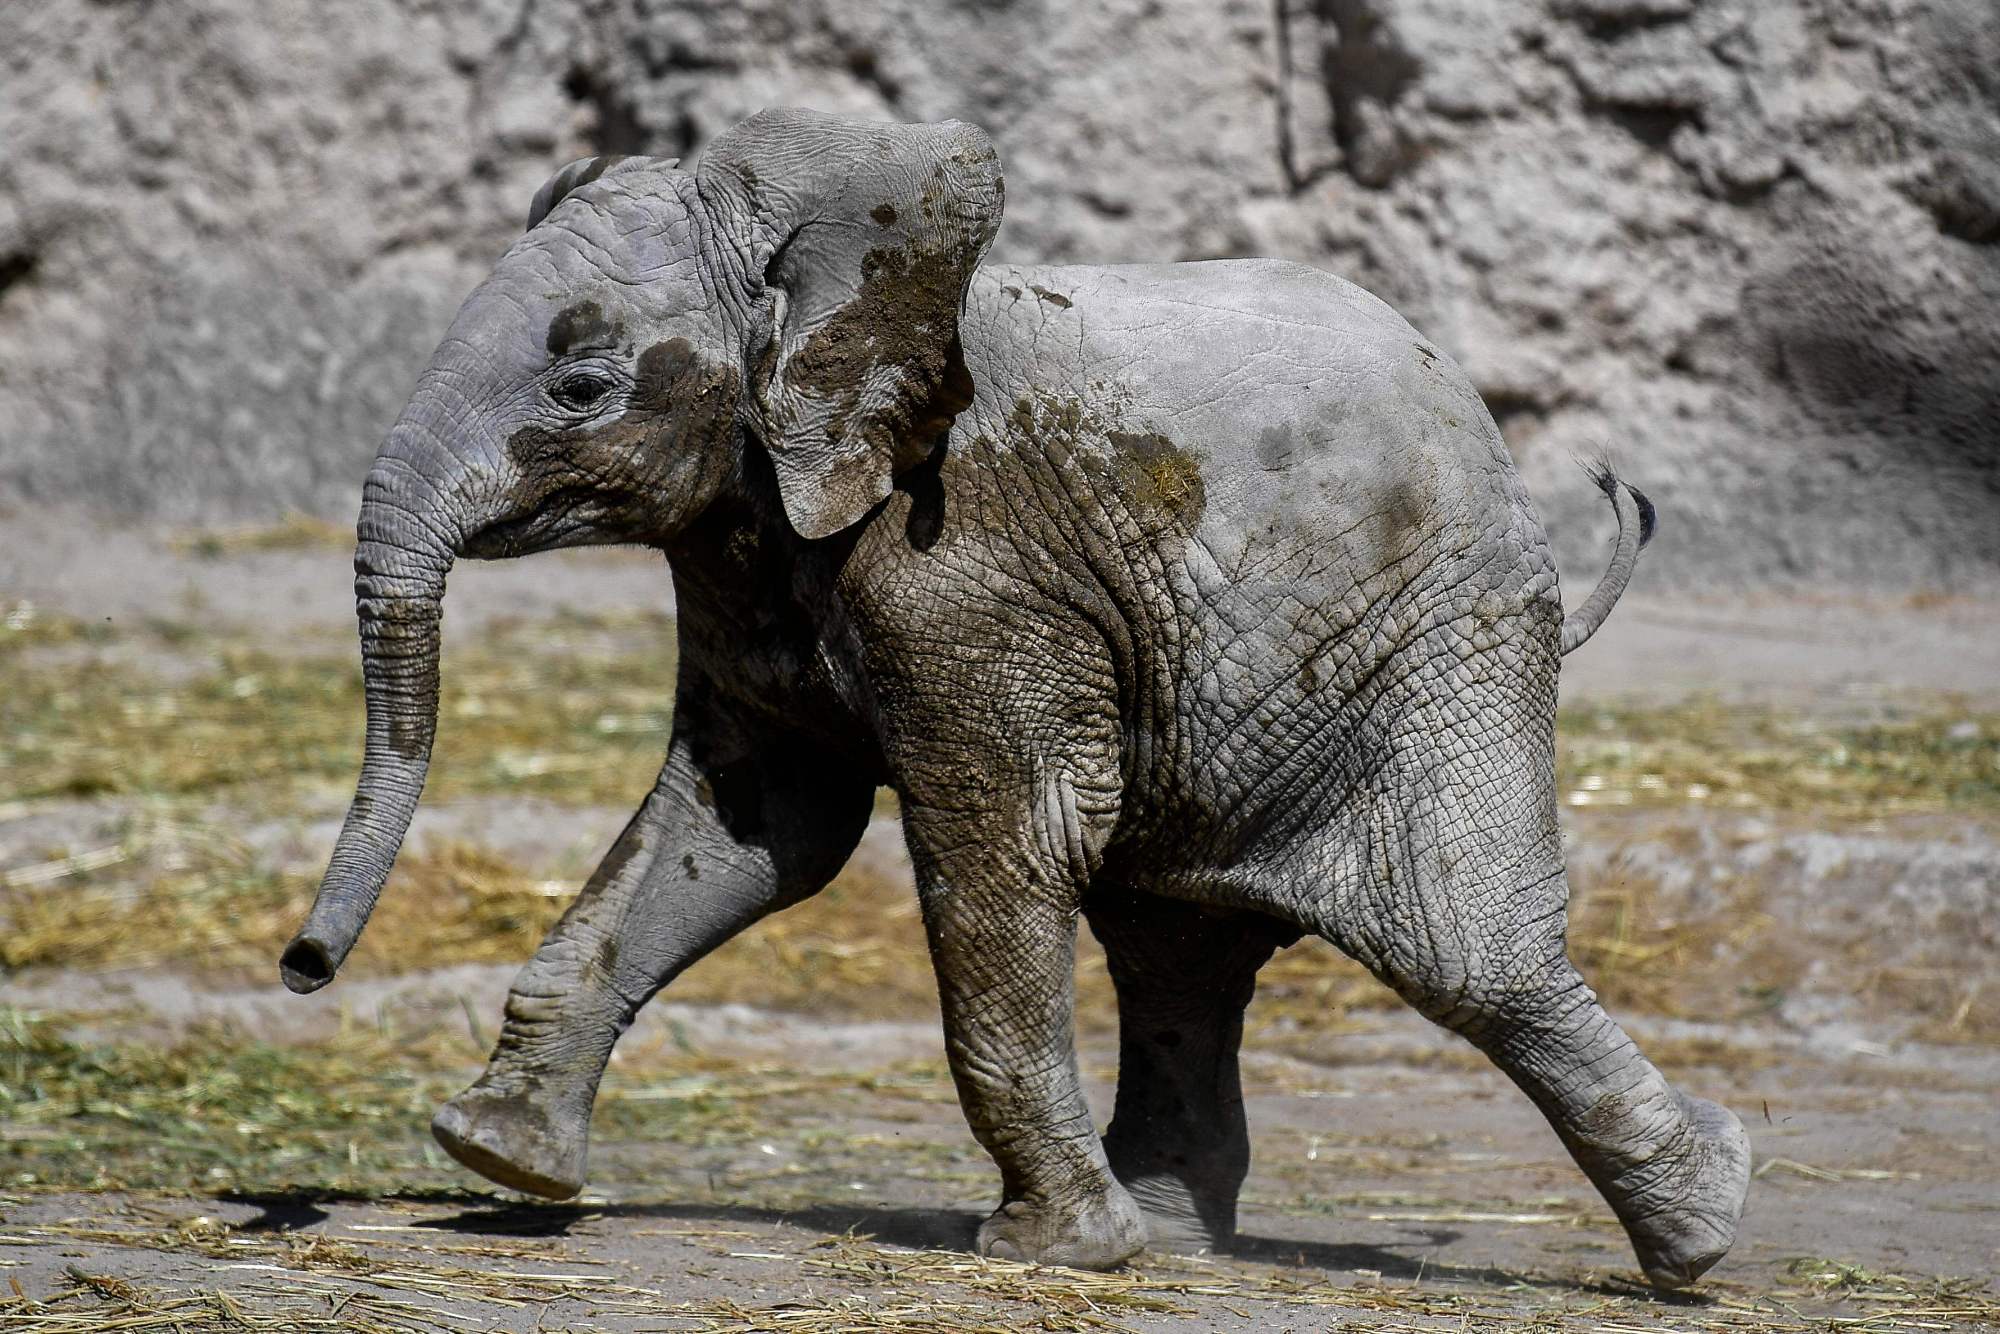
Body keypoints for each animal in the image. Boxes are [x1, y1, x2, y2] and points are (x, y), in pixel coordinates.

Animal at [282, 109, 1752, 1288]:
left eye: (581, 388)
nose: (301, 966)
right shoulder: (756, 543)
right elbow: (748, 831)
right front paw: (500, 1156)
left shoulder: (968, 570)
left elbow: (997, 838)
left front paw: (1051, 1255)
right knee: (1177, 953)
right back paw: (1178, 1241)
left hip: (1438, 638)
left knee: (1459, 946)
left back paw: (1704, 1227)